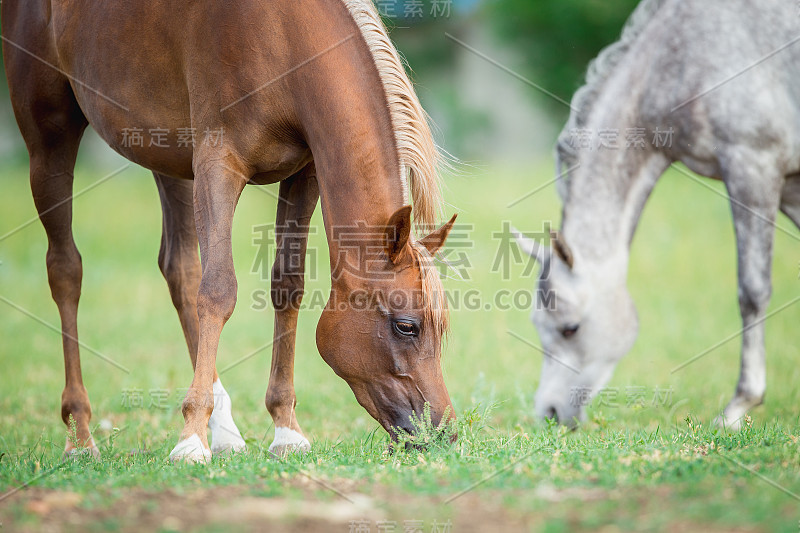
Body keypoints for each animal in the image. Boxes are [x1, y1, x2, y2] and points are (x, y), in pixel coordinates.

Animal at [1, 0, 456, 462]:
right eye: (406, 326)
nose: (442, 433)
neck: (283, 35)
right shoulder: (218, 165)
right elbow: (218, 290)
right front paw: (189, 439)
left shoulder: (305, 172)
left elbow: (286, 286)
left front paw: (285, 429)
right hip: (49, 141)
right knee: (65, 270)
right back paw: (81, 435)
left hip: (165, 153)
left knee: (179, 269)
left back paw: (222, 429)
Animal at [516, 0, 796, 428]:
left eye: (570, 329)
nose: (548, 412)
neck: (677, 58)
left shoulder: (753, 166)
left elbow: (752, 290)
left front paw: (739, 406)